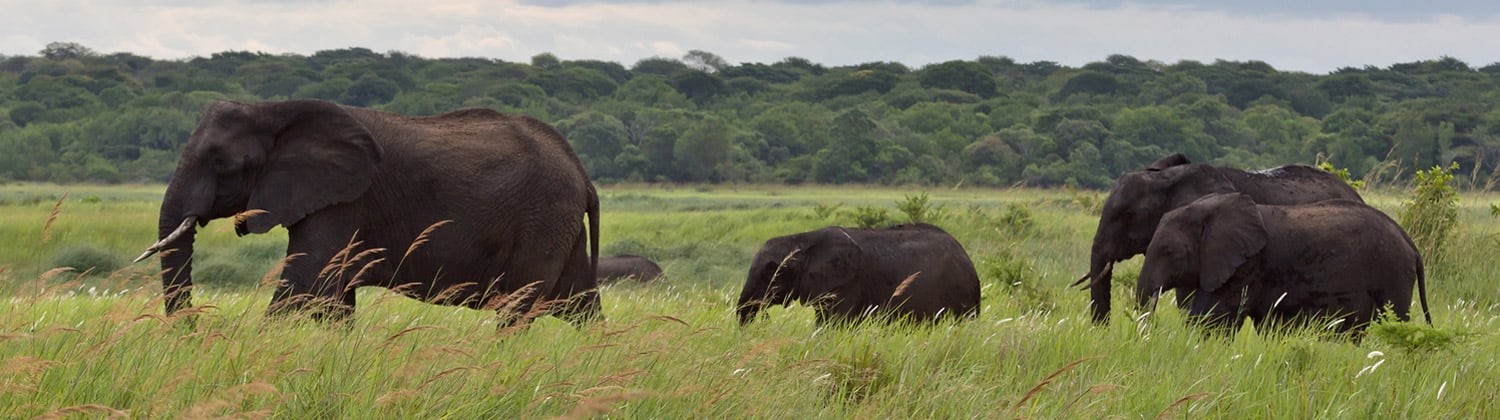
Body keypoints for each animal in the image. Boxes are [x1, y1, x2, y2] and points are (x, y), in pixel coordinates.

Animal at [134, 99, 601, 325]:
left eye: (219, 163)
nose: (193, 336)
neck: (273, 110)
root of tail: (582, 172)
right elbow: (334, 298)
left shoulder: (345, 201)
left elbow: (304, 284)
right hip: (560, 224)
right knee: (580, 305)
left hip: (543, 218)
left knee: (518, 309)